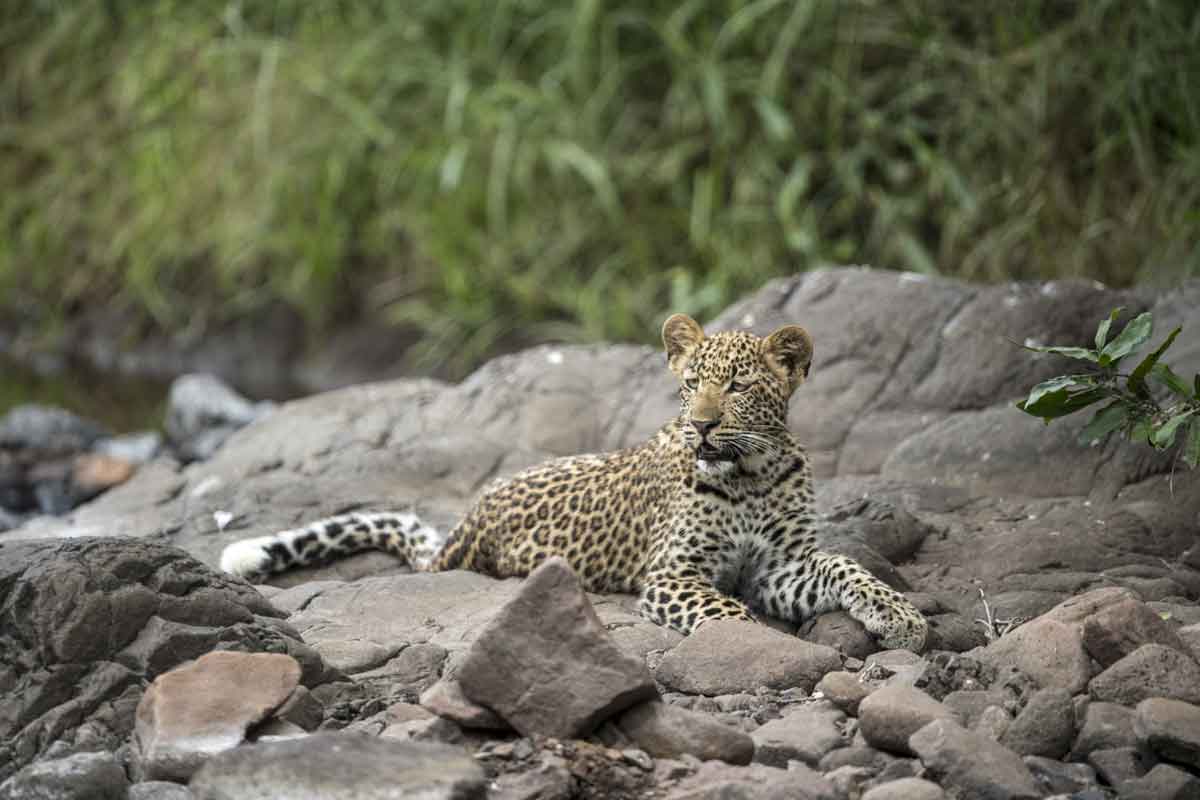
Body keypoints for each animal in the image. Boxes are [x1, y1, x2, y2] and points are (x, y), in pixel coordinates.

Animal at [226, 311, 936, 652]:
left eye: (737, 387)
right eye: (690, 384)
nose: (702, 426)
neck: (751, 477)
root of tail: (467, 522)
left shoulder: (782, 565)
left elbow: (844, 566)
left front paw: (901, 618)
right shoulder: (673, 574)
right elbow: (729, 612)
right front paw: (754, 645)